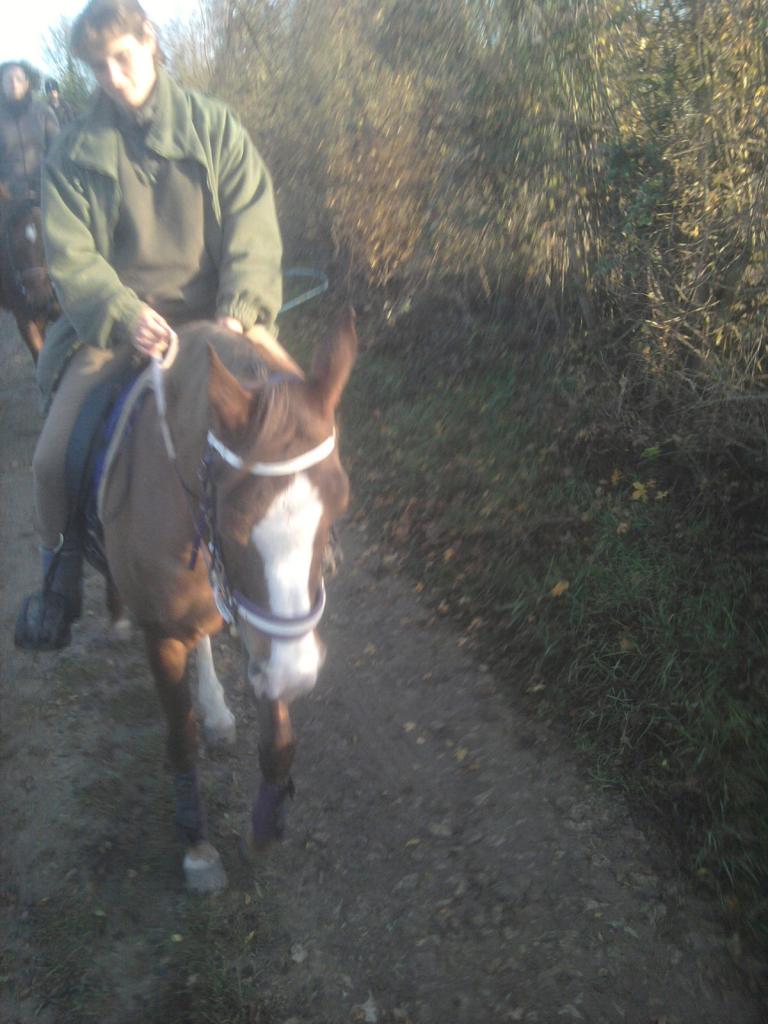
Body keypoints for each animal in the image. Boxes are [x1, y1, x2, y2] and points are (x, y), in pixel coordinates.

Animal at [96, 309, 358, 888]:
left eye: (339, 506)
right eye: (235, 523)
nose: (299, 674)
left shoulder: (266, 631)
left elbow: (278, 739)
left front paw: (263, 828)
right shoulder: (165, 635)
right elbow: (180, 734)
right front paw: (196, 842)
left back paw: (217, 709)